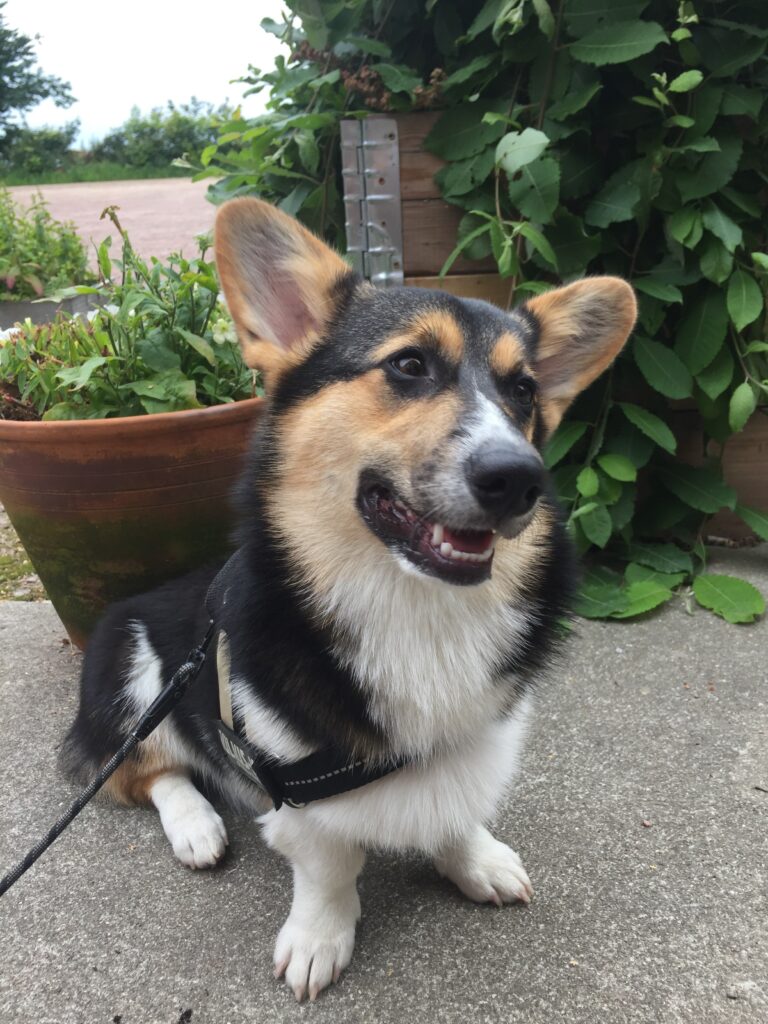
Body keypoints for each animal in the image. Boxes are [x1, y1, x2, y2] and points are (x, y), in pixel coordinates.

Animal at [63, 197, 638, 999]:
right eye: (409, 365)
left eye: (523, 390)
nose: (519, 478)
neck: (414, 605)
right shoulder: (291, 783)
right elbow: (327, 866)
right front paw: (318, 941)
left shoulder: (470, 734)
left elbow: (455, 810)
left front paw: (475, 861)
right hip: (133, 670)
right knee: (147, 769)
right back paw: (197, 827)